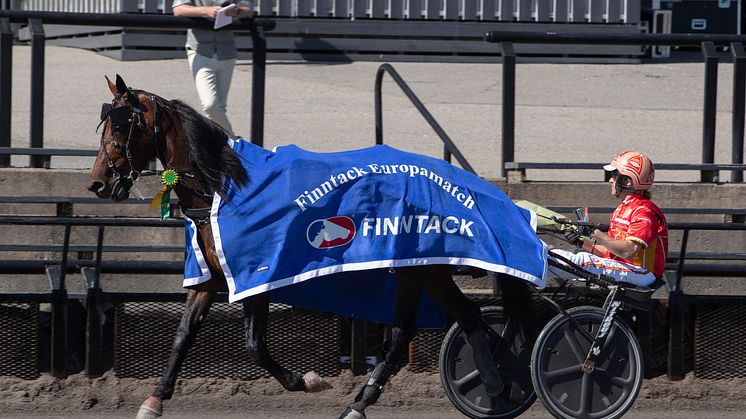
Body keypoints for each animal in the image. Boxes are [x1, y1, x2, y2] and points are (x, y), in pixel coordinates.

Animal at [90, 75, 528, 419]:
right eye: (104, 129)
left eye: (120, 130)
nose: (98, 183)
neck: (224, 189)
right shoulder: (211, 277)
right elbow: (182, 336)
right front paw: (154, 400)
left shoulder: (256, 276)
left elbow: (254, 346)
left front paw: (306, 380)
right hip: (428, 269)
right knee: (468, 319)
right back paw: (492, 386)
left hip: (413, 269)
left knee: (406, 330)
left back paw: (361, 403)